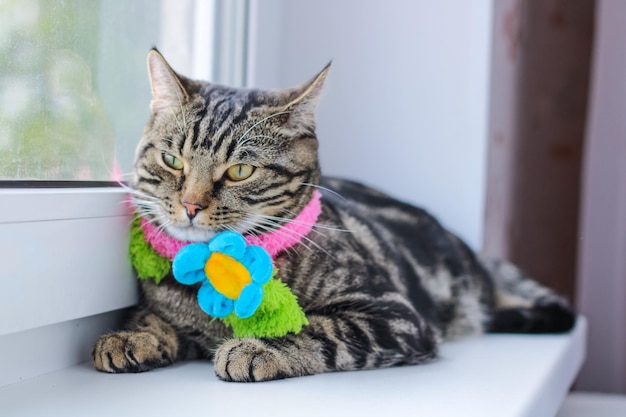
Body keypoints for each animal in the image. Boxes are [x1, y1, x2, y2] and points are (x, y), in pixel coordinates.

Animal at [90, 48, 572, 380]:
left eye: (240, 171)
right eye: (173, 161)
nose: (191, 205)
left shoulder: (393, 315)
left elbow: (319, 328)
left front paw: (255, 347)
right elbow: (157, 318)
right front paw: (133, 334)